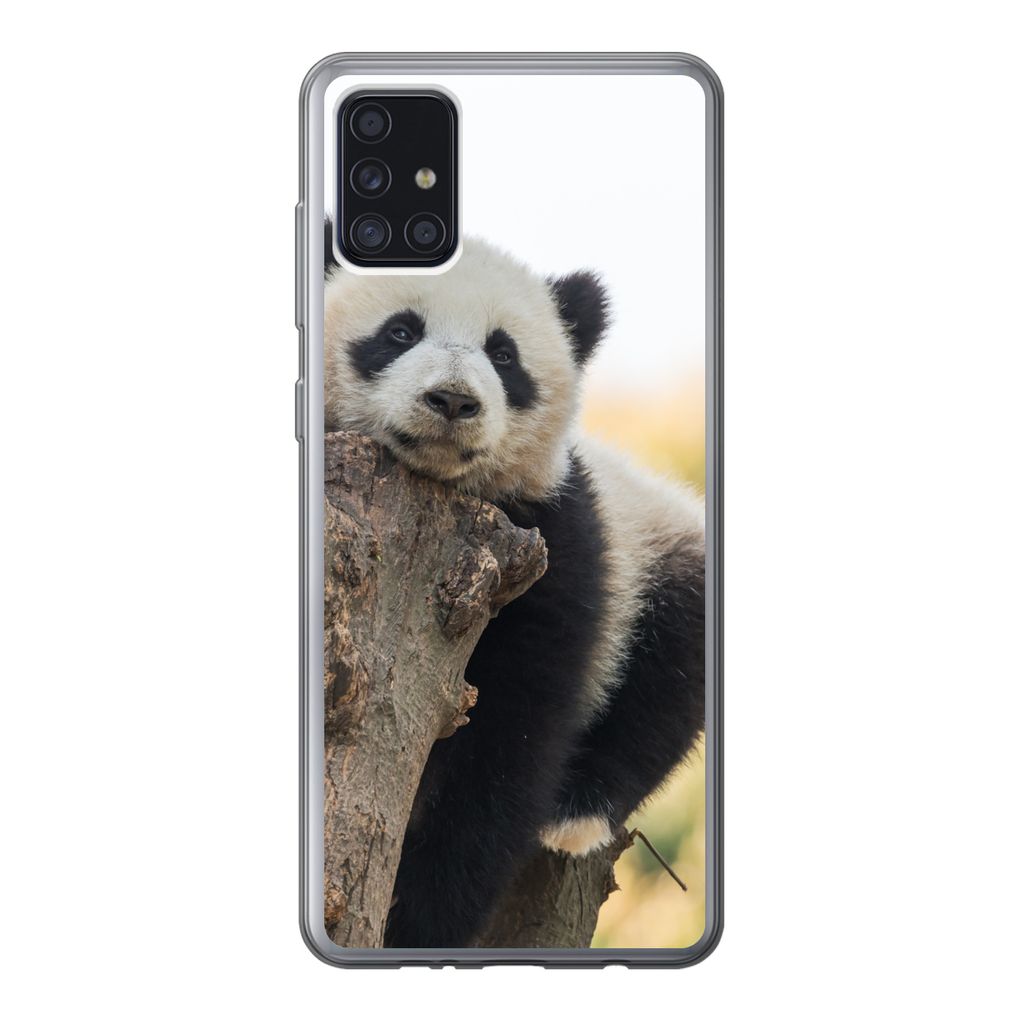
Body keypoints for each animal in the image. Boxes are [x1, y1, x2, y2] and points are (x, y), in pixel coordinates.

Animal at [323, 223, 705, 948]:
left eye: (504, 355)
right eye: (400, 332)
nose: (453, 401)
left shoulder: (553, 541)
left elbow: (512, 737)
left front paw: (418, 922)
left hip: (655, 546)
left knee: (673, 662)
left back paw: (579, 810)